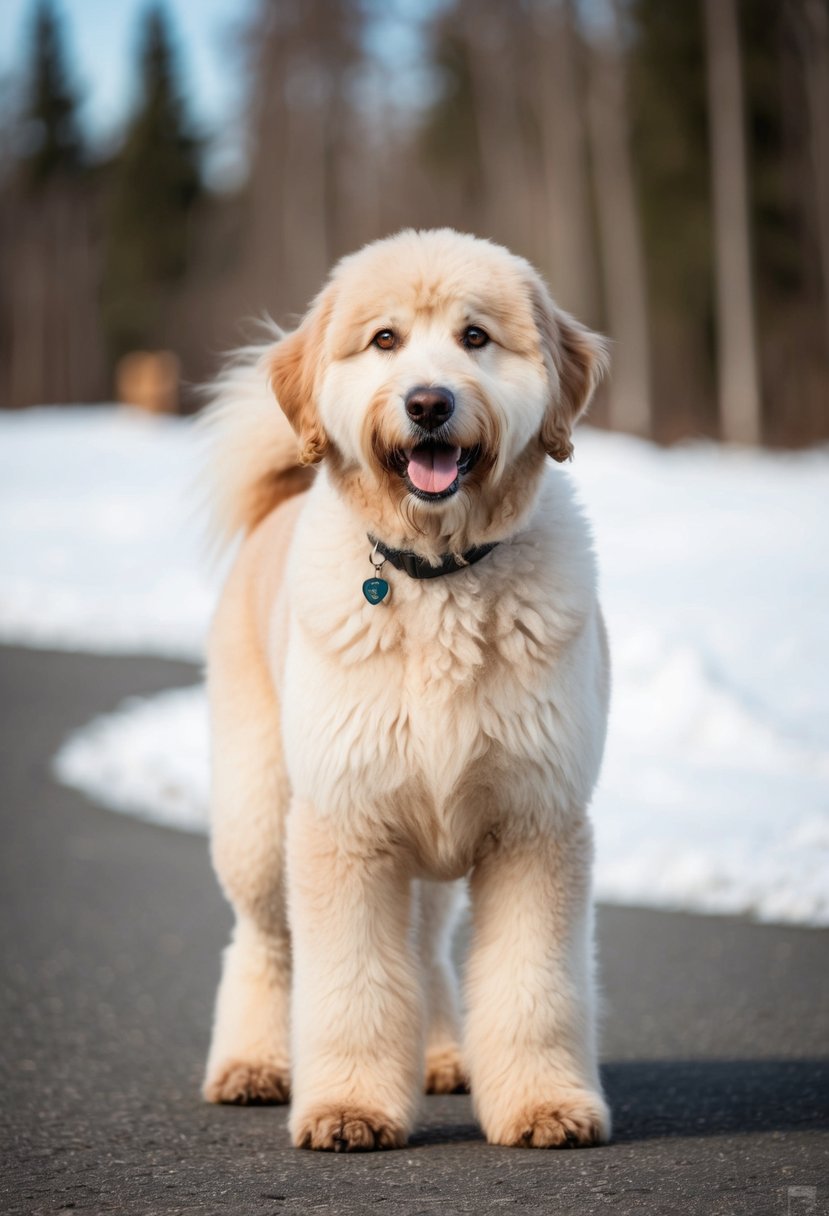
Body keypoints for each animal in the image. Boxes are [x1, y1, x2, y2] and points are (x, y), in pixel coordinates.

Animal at [200, 226, 610, 1147]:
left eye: (474, 337)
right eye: (384, 339)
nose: (427, 404)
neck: (439, 580)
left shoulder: (534, 823)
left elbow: (532, 985)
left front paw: (544, 1103)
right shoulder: (345, 824)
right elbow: (350, 984)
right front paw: (348, 1106)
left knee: (420, 955)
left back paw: (443, 1056)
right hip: (257, 818)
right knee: (261, 944)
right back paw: (251, 1064)